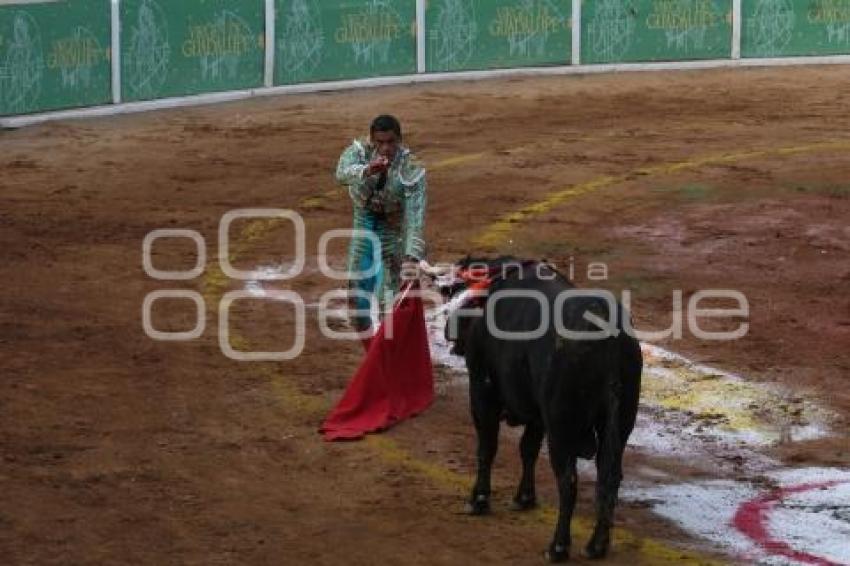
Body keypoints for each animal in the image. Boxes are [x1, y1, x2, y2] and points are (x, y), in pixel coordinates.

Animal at [440, 260, 640, 564]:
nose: (446, 332)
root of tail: (609, 337)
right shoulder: (538, 415)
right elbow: (528, 449)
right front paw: (524, 498)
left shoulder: (482, 392)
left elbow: (487, 447)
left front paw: (479, 500)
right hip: (618, 424)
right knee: (609, 478)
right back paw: (597, 545)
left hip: (561, 428)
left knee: (568, 481)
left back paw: (557, 547)